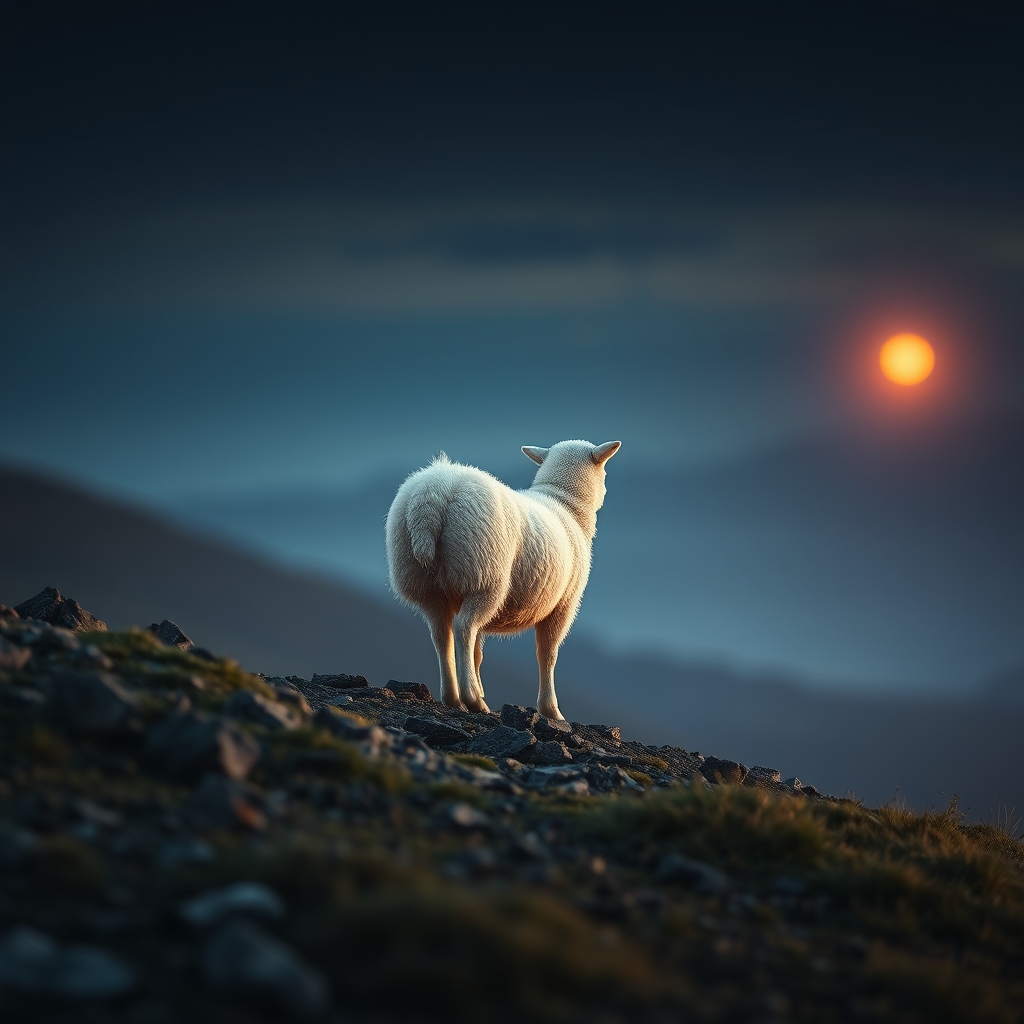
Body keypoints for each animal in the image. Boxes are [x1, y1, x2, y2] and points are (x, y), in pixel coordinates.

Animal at [386, 439, 621, 719]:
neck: (564, 502)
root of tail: (432, 497)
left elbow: (478, 653)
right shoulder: (564, 603)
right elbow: (548, 654)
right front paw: (551, 710)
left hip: (425, 584)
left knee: (443, 635)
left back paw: (453, 697)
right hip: (485, 577)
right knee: (464, 627)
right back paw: (472, 698)